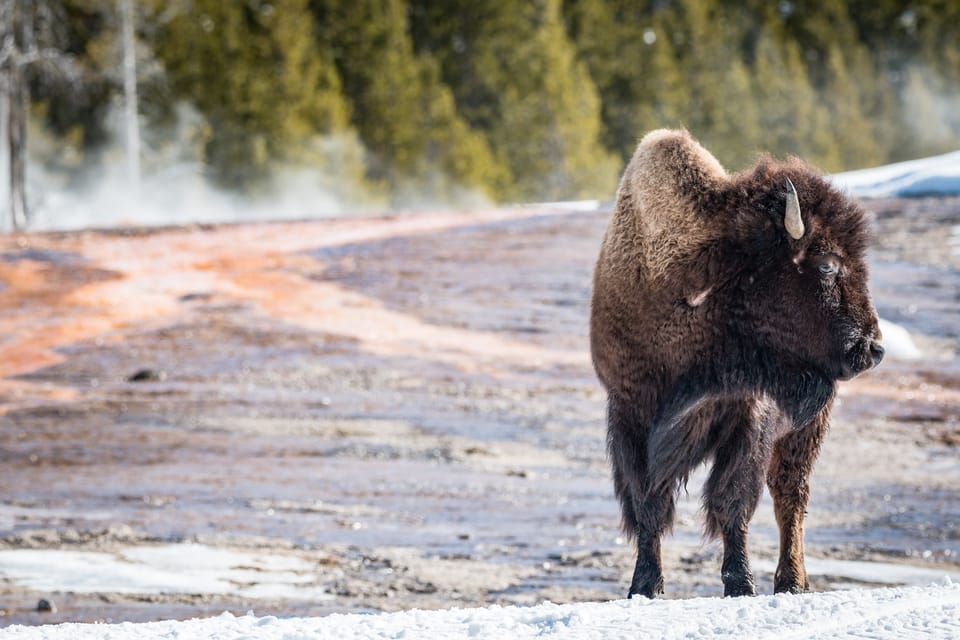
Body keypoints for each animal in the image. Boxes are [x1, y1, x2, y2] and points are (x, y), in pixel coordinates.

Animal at [588, 130, 888, 600]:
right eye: (826, 264)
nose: (872, 347)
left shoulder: (748, 416)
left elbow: (732, 501)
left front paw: (741, 584)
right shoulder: (630, 414)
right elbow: (648, 504)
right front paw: (644, 585)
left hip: (807, 427)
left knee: (790, 497)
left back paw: (791, 582)